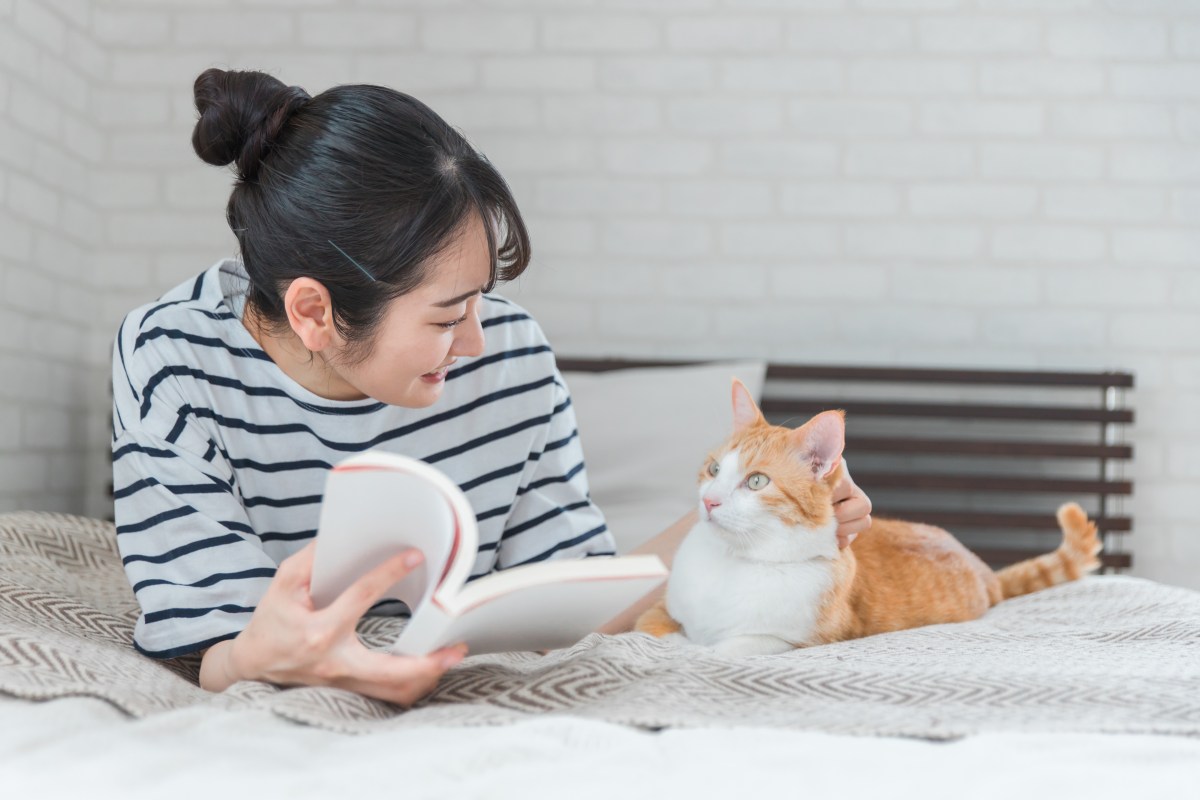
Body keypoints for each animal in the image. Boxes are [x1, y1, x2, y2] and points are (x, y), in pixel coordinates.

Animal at [633, 379, 1099, 662]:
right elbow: (649, 629)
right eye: (714, 470)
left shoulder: (792, 639)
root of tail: (985, 571)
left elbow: (717, 651)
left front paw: (694, 651)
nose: (709, 501)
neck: (734, 562)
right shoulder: (661, 611)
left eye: (757, 481)